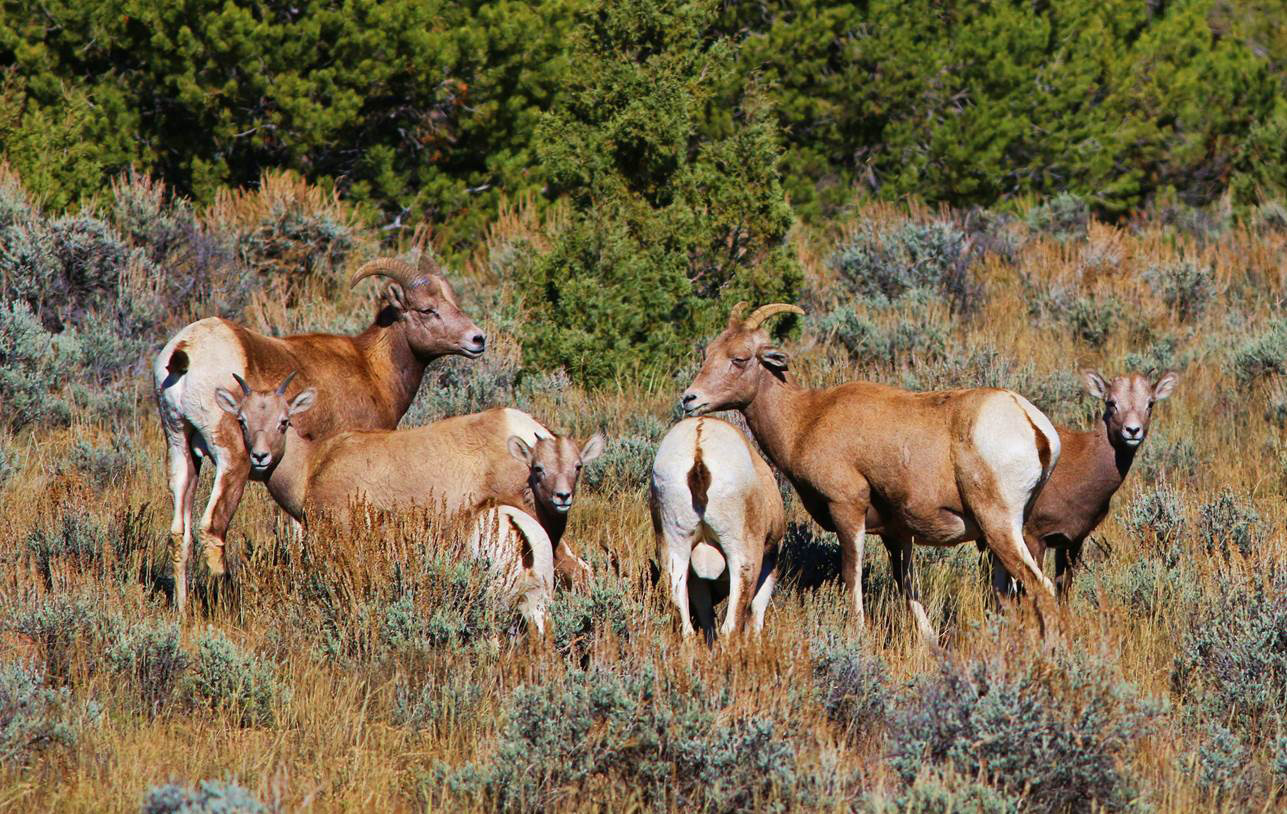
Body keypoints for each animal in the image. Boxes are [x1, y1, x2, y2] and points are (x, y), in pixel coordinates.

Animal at [153, 252, 485, 611]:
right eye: (426, 309)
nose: (478, 339)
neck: (370, 368)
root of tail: (185, 351)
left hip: (181, 452)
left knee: (179, 535)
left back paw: (183, 611)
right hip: (233, 463)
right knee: (212, 529)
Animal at [650, 416, 785, 643]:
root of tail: (698, 451)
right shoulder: (770, 560)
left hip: (676, 550)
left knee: (686, 625)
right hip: (742, 559)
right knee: (730, 626)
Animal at [680, 303, 1063, 640]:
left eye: (740, 358)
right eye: (710, 351)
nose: (690, 399)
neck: (806, 419)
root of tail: (1033, 425)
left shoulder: (847, 509)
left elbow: (852, 574)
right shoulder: (898, 534)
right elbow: (908, 587)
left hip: (999, 526)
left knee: (1041, 587)